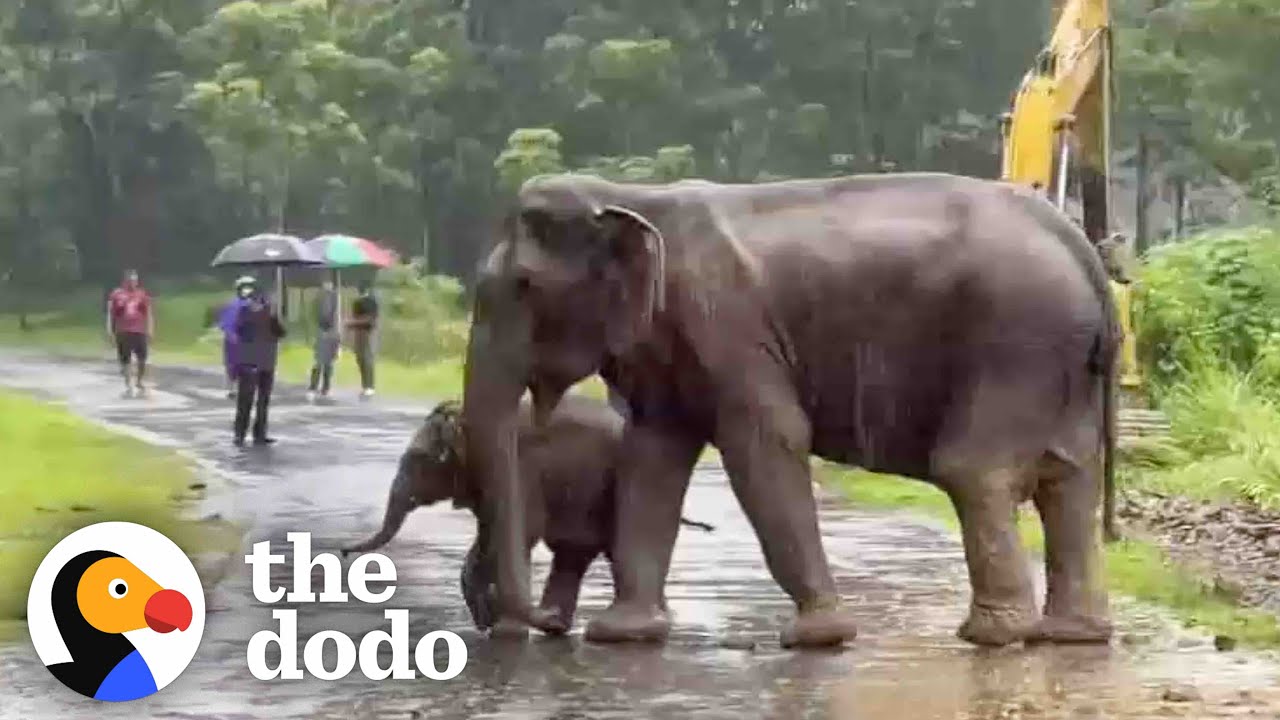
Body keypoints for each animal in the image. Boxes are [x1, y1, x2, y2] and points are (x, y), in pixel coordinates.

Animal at [340, 392, 716, 632]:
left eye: (420, 460)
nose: (343, 551)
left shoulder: (521, 470)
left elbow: (517, 532)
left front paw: (499, 627)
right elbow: (490, 536)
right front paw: (489, 620)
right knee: (572, 556)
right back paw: (558, 624)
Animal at [463, 170, 1121, 648]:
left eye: (524, 286)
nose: (550, 623)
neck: (629, 198)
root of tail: (1083, 249)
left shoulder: (730, 328)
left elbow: (766, 443)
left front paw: (817, 637)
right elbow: (653, 457)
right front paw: (623, 634)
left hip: (1017, 344)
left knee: (974, 469)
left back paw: (992, 636)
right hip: (1061, 365)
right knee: (1070, 475)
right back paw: (1071, 636)